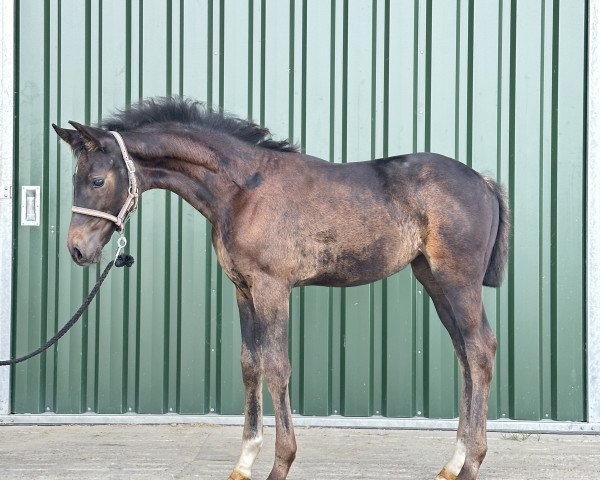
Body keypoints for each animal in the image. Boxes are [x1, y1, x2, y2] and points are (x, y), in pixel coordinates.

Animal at [52, 95, 510, 478]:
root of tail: (484, 182)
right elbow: (250, 364)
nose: (77, 249)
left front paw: (280, 463)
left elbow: (277, 366)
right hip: (432, 279)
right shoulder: (242, 288)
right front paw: (244, 461)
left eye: (96, 181)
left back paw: (472, 463)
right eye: (73, 178)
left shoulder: (272, 287)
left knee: (481, 349)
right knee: (464, 354)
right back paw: (453, 462)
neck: (241, 191)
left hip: (458, 279)